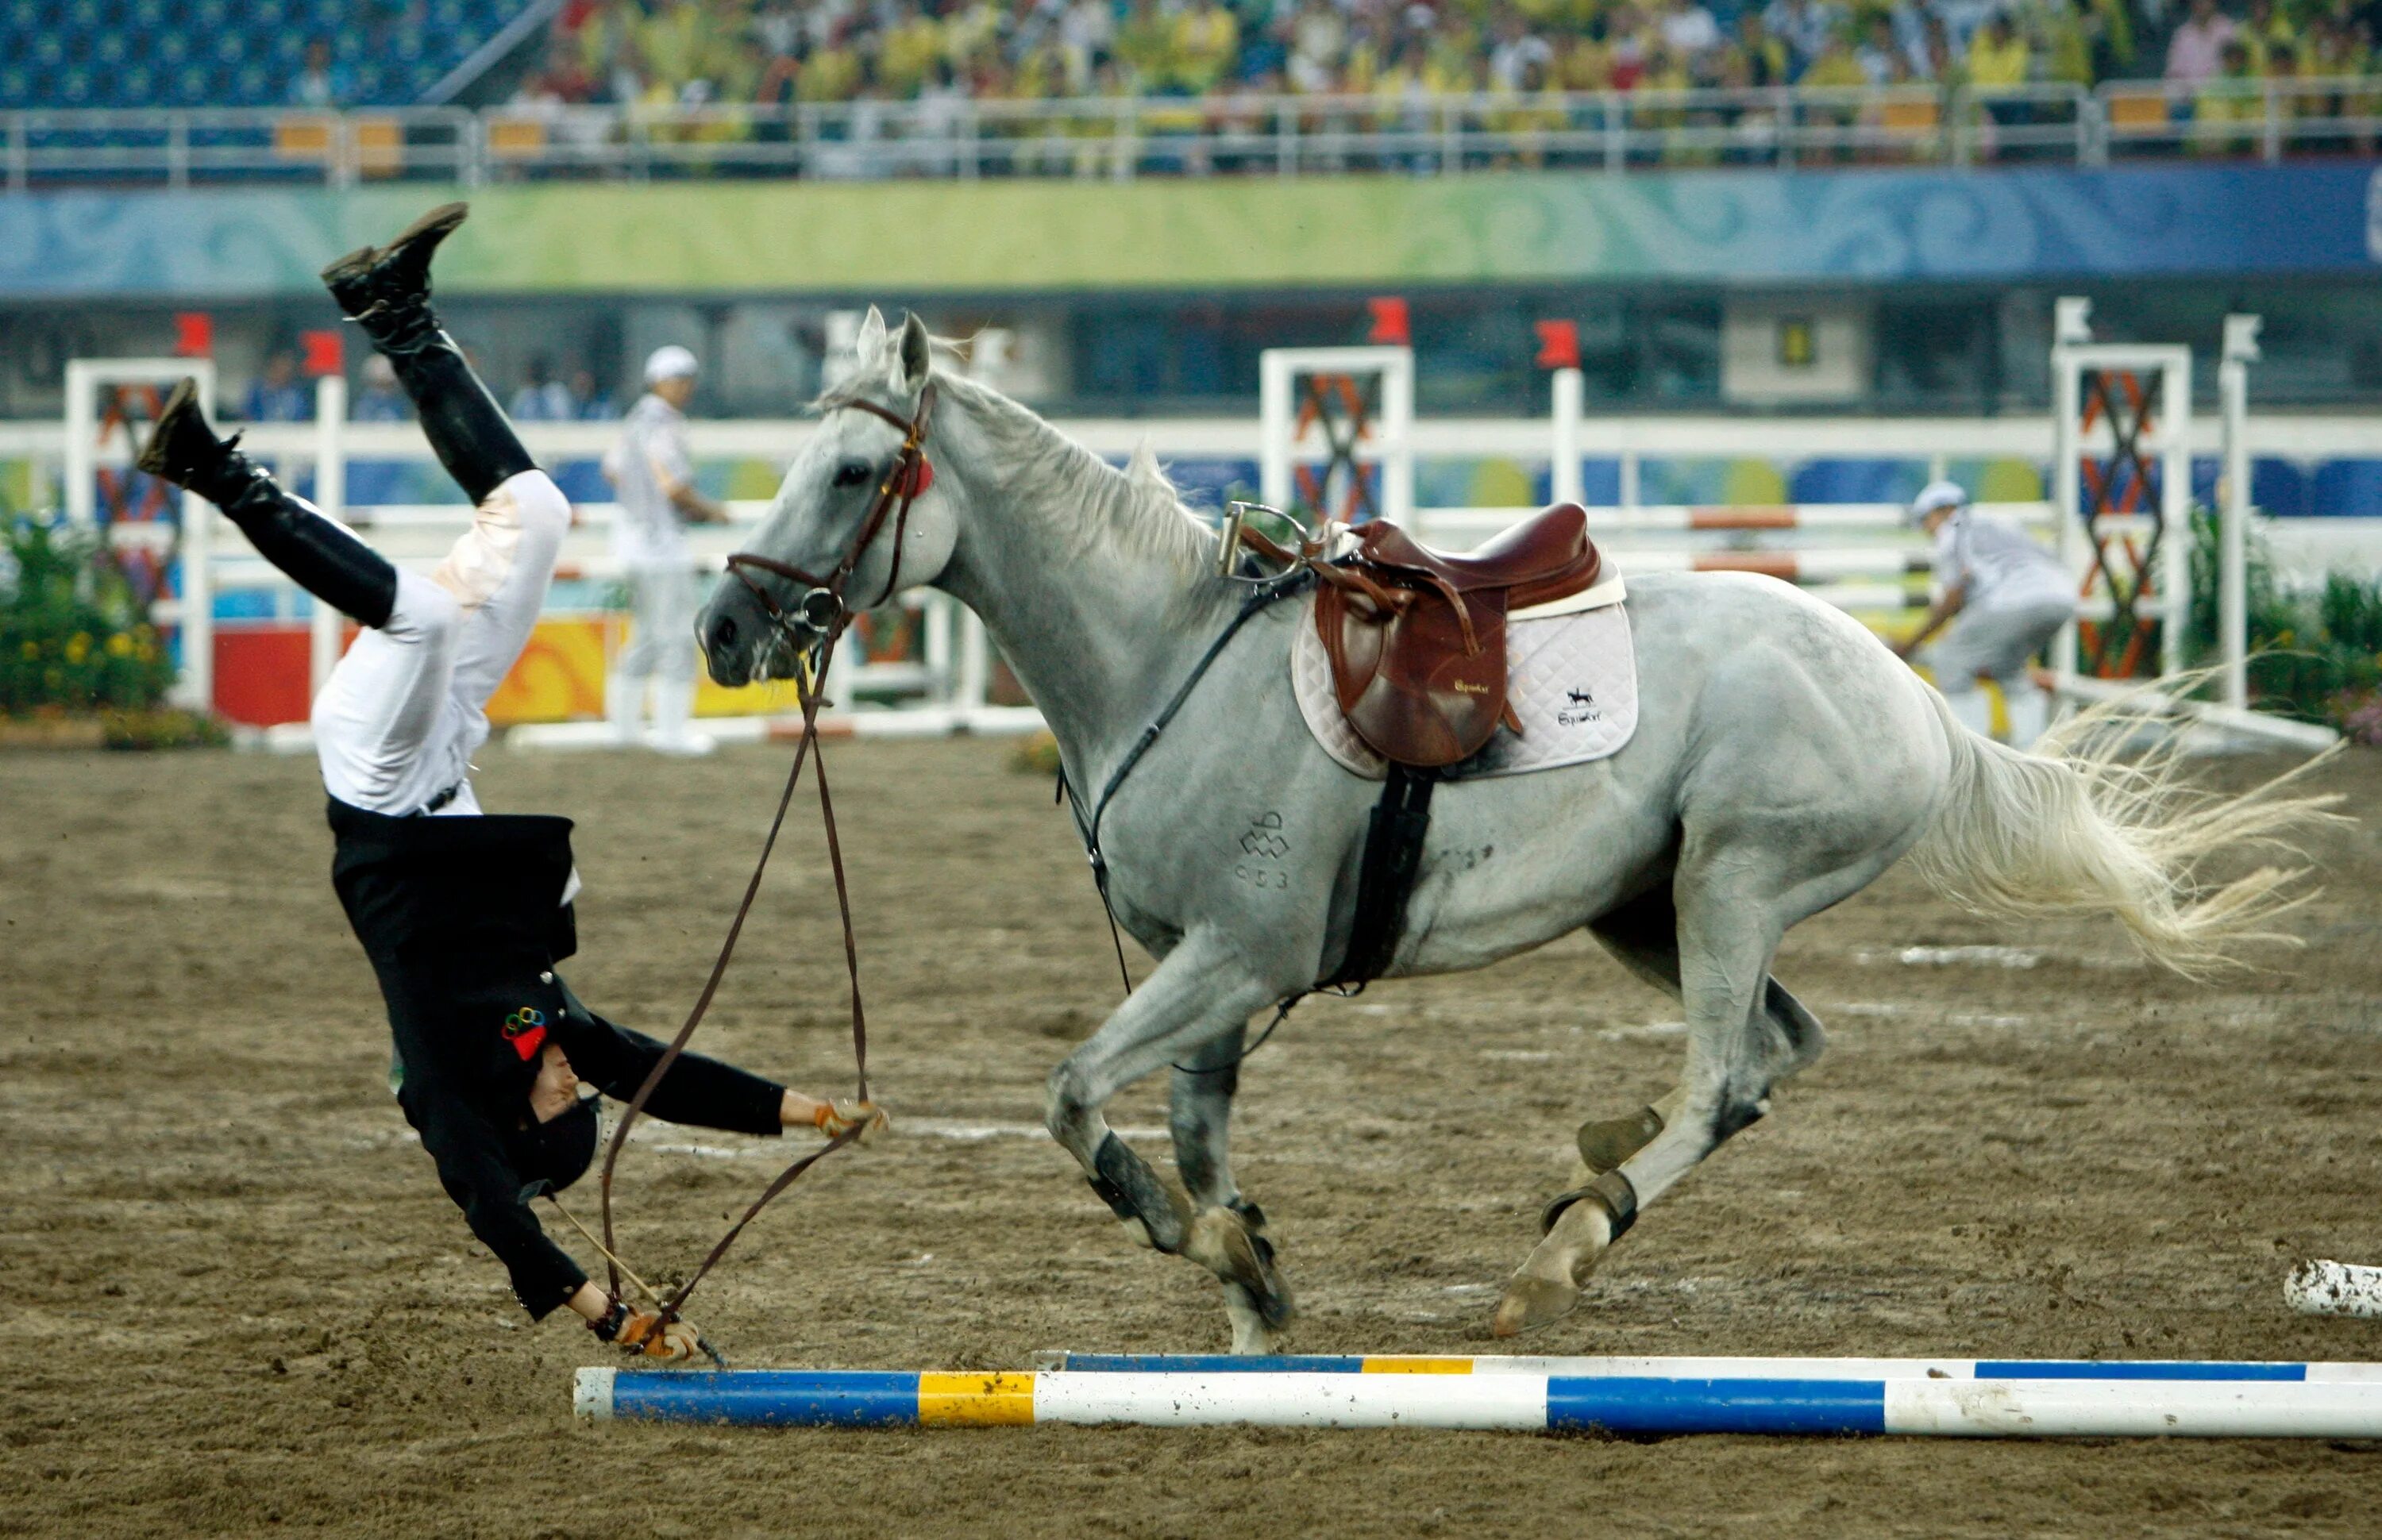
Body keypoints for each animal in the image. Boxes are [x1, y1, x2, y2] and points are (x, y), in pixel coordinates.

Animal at [696, 309, 2334, 1352]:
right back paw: (1596, 1172)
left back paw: (1561, 1257)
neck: (1166, 658)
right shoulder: (1209, 973)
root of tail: (1913, 696)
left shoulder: (1235, 957)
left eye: (855, 472)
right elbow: (1195, 1135)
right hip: (1649, 910)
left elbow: (1073, 1095)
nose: (722, 629)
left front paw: (1191, 1239)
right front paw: (1248, 1288)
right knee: (1776, 1057)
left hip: (1731, 888)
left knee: (1722, 1079)